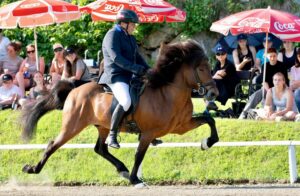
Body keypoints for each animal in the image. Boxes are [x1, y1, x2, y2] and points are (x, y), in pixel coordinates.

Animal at [20, 39, 218, 187]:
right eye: (201, 69)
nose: (213, 94)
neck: (168, 94)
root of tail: (75, 88)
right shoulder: (148, 133)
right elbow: (139, 154)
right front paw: (135, 180)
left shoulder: (181, 126)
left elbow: (209, 120)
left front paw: (207, 143)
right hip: (73, 126)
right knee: (53, 144)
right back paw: (32, 169)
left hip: (102, 126)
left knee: (100, 148)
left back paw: (122, 169)